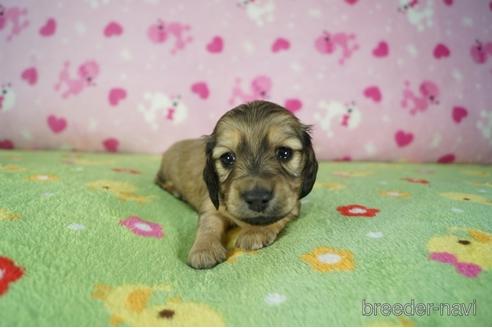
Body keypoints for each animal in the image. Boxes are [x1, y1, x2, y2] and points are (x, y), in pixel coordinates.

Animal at [158, 100, 320, 270]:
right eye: (227, 158)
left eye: (284, 153)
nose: (257, 198)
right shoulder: (211, 206)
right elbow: (208, 226)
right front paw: (204, 249)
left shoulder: (292, 202)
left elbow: (276, 216)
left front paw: (255, 232)